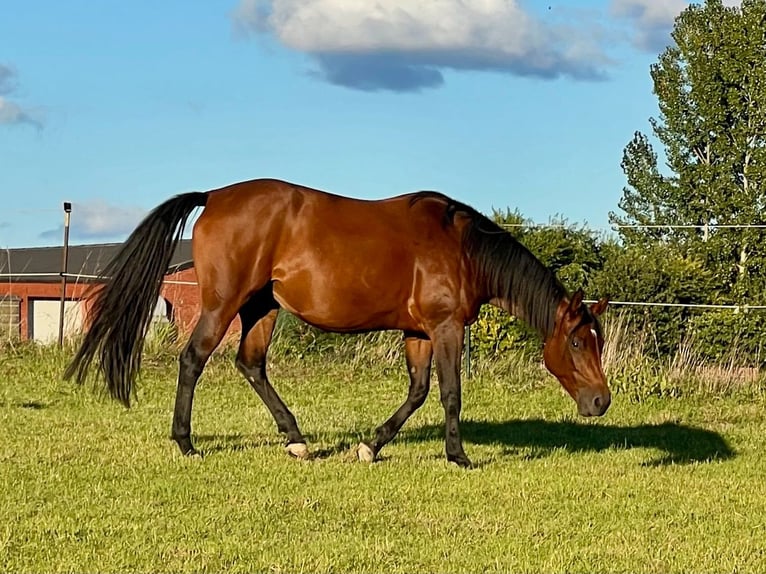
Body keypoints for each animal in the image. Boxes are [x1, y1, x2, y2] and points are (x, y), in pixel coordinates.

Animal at [65, 178, 610, 468]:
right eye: (578, 341)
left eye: (596, 340)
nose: (601, 402)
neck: (461, 248)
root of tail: (215, 195)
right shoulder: (445, 327)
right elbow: (449, 392)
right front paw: (458, 456)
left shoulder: (418, 332)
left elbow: (417, 392)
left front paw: (371, 446)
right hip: (223, 305)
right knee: (193, 359)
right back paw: (186, 442)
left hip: (262, 308)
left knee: (251, 364)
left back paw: (296, 439)